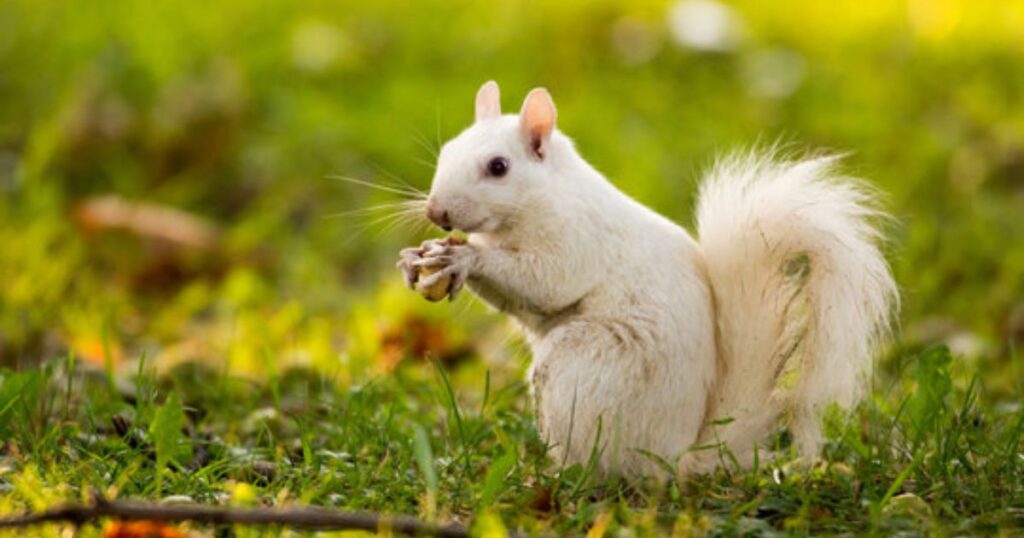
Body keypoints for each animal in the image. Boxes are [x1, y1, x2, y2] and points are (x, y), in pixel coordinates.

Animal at [398, 81, 898, 479]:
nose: (436, 212)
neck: (542, 197)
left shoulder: (577, 238)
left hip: (583, 370)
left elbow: (546, 281)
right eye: (447, 151)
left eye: (498, 167)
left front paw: (466, 258)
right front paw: (415, 258)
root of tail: (674, 455)